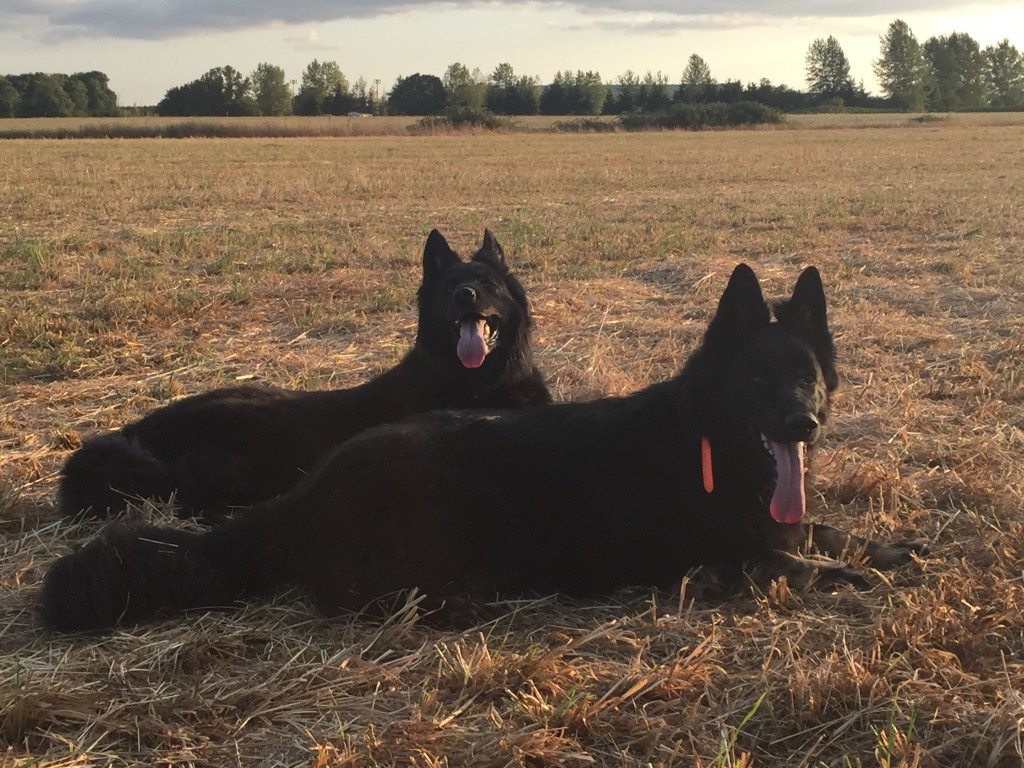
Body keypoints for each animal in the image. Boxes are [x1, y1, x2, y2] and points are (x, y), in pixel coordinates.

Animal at [39, 262, 925, 634]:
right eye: (757, 382)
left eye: (806, 378)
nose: (802, 425)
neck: (710, 441)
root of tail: (302, 496)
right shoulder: (734, 559)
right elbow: (807, 562)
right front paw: (861, 574)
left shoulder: (783, 518)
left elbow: (828, 531)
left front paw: (888, 547)